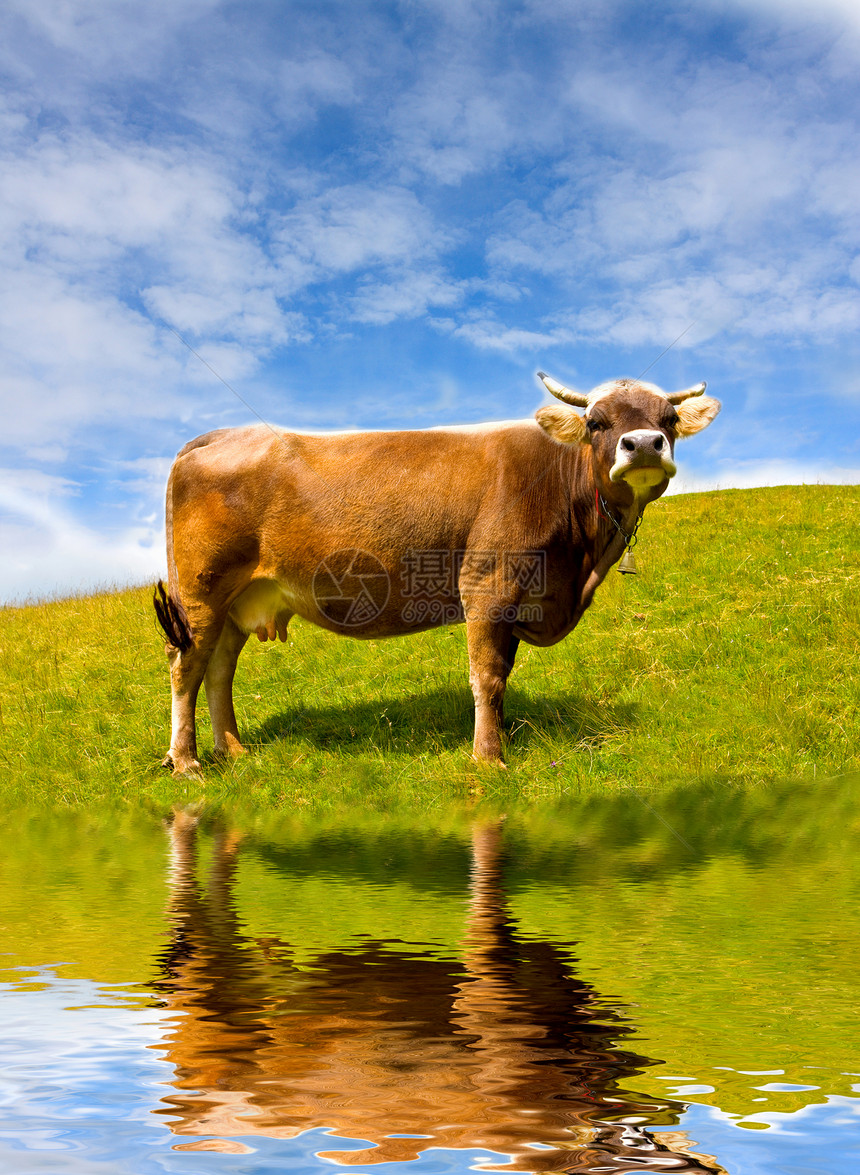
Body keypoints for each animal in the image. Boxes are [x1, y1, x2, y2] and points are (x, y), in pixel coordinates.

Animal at [155, 371, 719, 775]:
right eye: (597, 422)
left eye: (668, 418)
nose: (643, 444)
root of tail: (221, 435)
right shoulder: (488, 585)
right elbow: (486, 676)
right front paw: (488, 758)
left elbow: (503, 675)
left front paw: (499, 739)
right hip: (202, 592)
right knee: (187, 666)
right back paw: (187, 762)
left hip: (239, 599)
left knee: (219, 670)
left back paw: (233, 750)